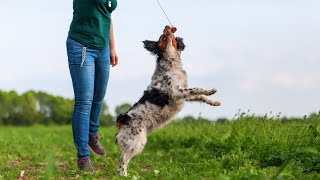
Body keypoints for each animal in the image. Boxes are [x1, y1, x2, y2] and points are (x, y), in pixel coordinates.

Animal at [114, 25, 220, 176]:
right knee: (122, 160)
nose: (167, 26)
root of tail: (123, 119)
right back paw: (125, 176)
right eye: (162, 37)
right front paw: (210, 90)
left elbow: (200, 96)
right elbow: (197, 89)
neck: (171, 64)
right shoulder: (176, 92)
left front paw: (214, 102)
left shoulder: (183, 94)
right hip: (137, 142)